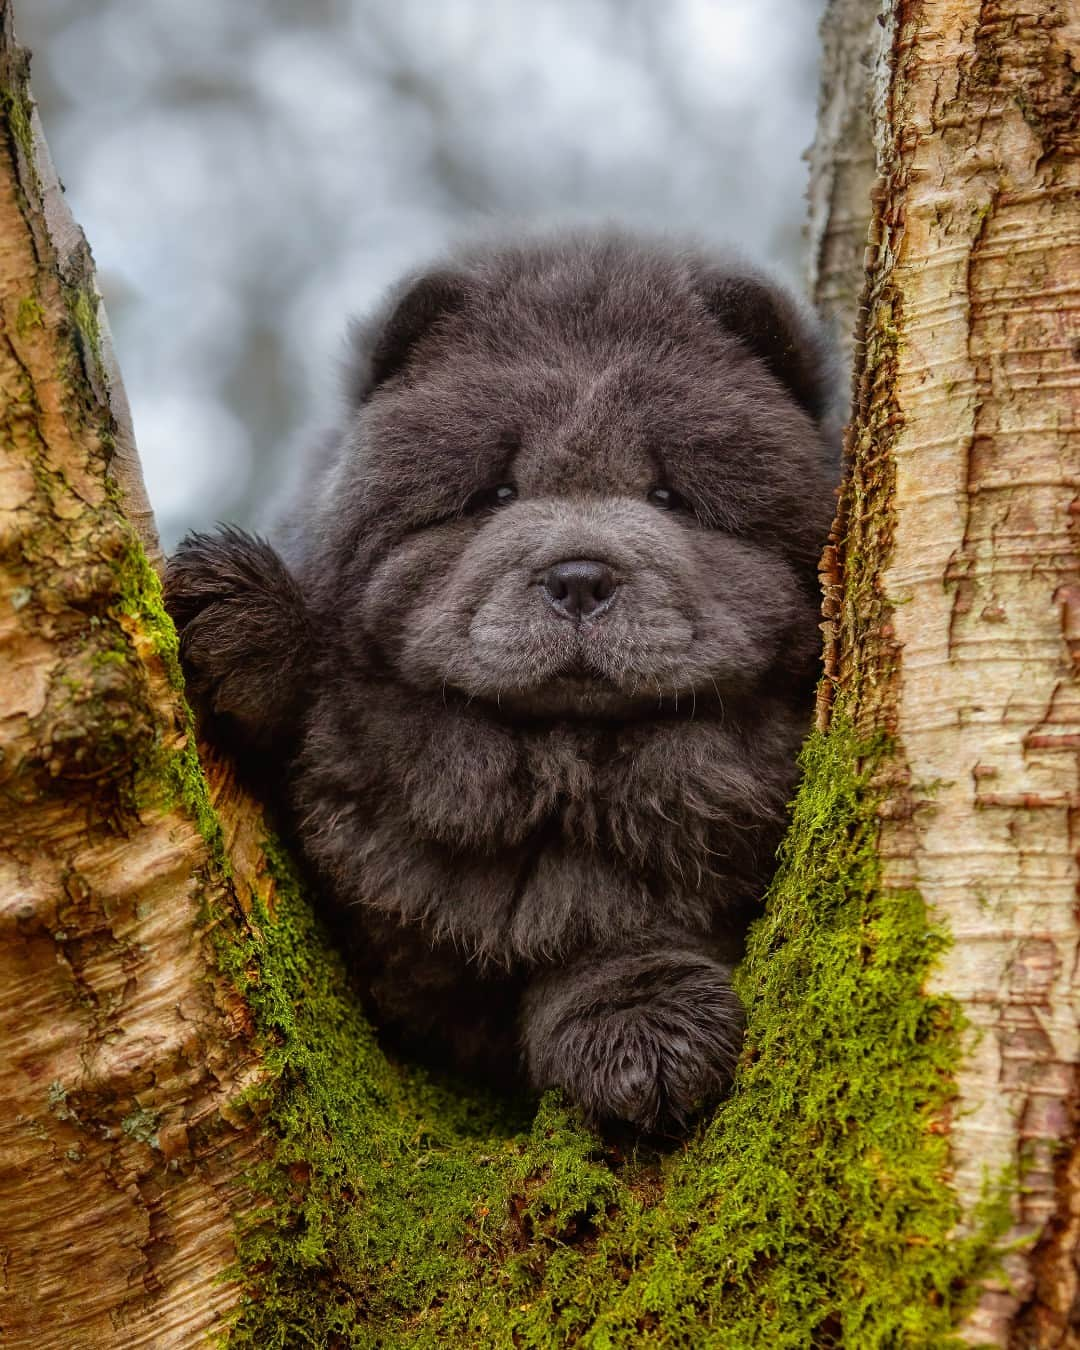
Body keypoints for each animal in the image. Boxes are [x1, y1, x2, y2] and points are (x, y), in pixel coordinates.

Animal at [168, 234, 837, 1139]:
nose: (580, 576)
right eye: (498, 493)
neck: (553, 772)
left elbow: (613, 926)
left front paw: (645, 1030)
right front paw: (238, 609)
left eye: (667, 495)